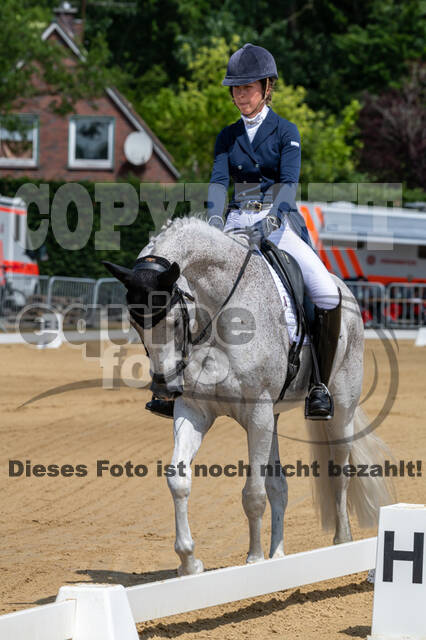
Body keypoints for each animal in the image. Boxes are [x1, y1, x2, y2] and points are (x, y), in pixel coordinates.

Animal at [104, 216, 394, 576]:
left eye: (173, 321)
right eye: (134, 322)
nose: (164, 388)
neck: (219, 316)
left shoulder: (256, 412)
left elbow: (253, 493)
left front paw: (253, 560)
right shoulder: (195, 410)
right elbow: (179, 479)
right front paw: (189, 561)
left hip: (340, 410)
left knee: (339, 472)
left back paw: (340, 544)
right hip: (274, 417)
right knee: (279, 486)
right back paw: (278, 555)